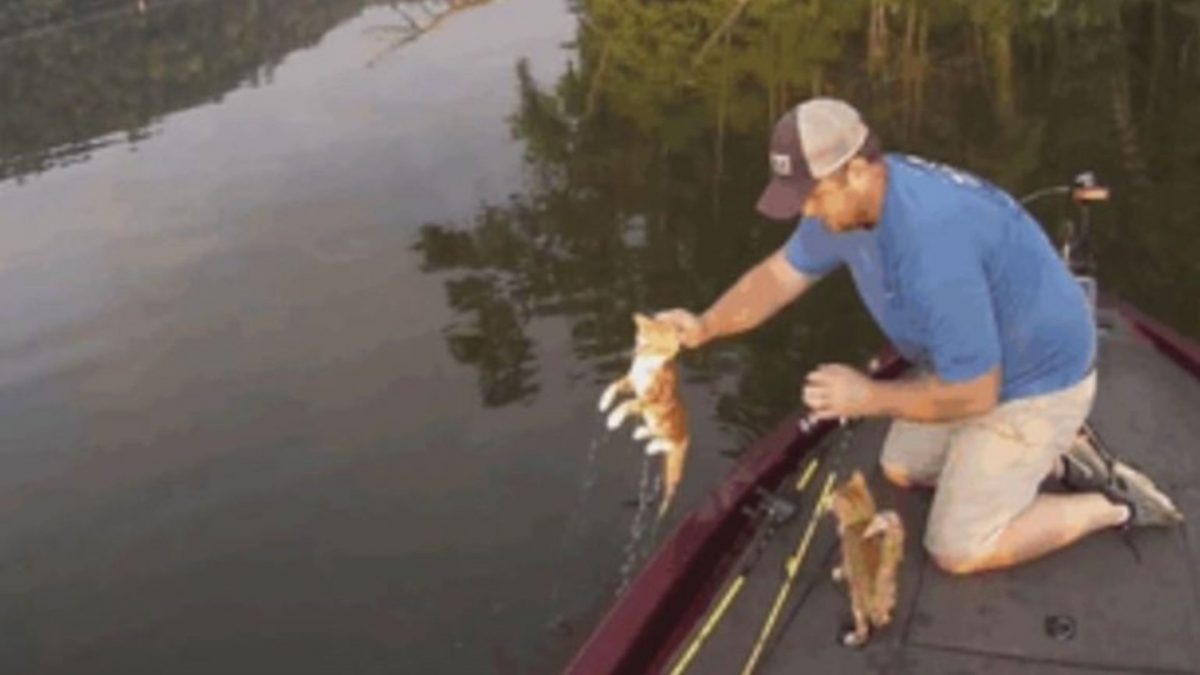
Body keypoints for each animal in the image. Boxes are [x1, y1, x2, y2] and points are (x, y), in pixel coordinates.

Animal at [595, 312, 691, 516]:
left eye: (653, 347)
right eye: (640, 341)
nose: (636, 352)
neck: (645, 367)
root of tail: (687, 436)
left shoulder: (647, 398)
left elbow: (626, 403)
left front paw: (613, 419)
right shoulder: (630, 382)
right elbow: (614, 385)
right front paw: (604, 402)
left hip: (670, 431)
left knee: (667, 442)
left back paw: (651, 446)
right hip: (654, 423)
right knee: (654, 434)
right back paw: (640, 434)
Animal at [830, 468, 902, 648]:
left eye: (834, 499)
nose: (829, 500)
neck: (860, 522)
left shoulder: (846, 558)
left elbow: (844, 568)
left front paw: (838, 573)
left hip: (857, 605)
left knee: (864, 629)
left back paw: (853, 638)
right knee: (884, 617)